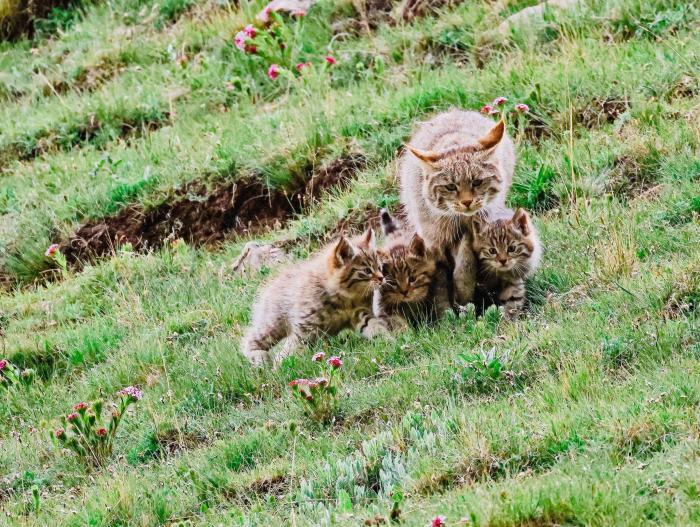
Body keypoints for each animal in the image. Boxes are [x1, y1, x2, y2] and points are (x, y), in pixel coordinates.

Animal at [241, 229, 388, 370]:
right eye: (367, 271)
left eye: (379, 267)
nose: (382, 278)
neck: (345, 299)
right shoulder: (305, 328)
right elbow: (291, 349)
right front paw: (280, 368)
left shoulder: (360, 314)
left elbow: (376, 326)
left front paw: (387, 340)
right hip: (273, 323)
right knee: (249, 340)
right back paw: (260, 358)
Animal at [400, 109, 516, 306]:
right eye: (450, 187)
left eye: (477, 182)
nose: (467, 202)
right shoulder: (434, 240)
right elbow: (438, 276)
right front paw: (445, 308)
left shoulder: (472, 234)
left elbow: (465, 265)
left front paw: (463, 298)